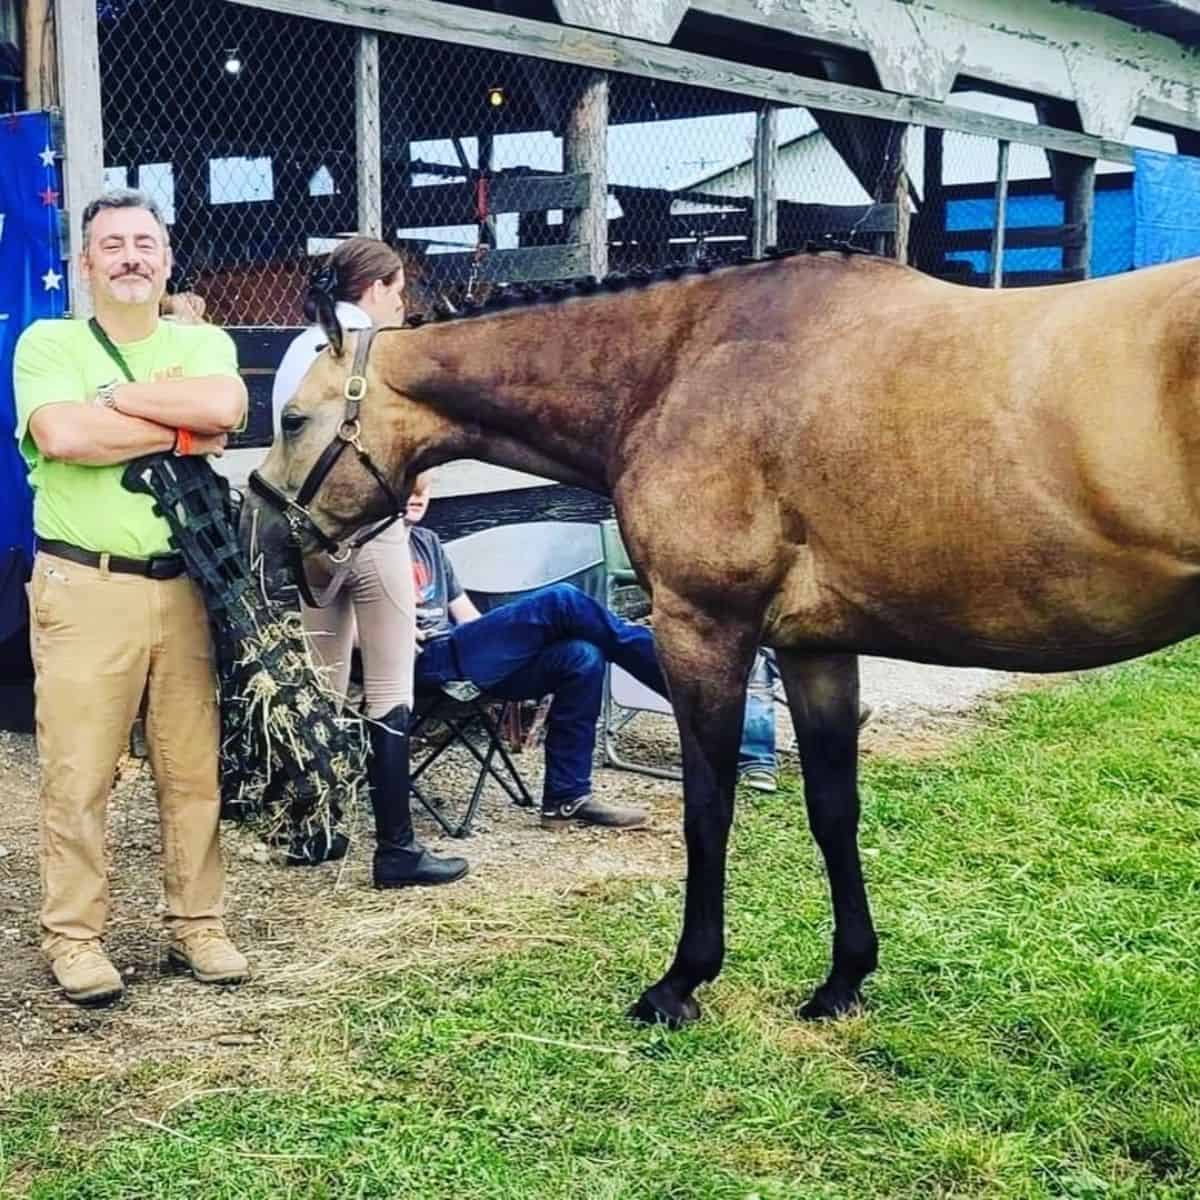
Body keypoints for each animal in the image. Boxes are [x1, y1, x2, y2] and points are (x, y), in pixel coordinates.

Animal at [246, 248, 1200, 1027]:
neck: (679, 364)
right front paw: (843, 981)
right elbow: (833, 810)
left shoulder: (702, 631)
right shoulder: (816, 648)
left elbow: (708, 810)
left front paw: (679, 984)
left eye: (291, 418)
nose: (264, 534)